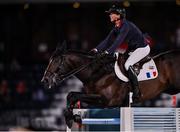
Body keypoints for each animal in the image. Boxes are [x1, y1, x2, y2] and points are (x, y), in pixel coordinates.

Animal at [41, 42, 180, 106]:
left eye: (56, 61)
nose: (45, 80)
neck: (97, 72)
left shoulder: (108, 101)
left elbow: (74, 96)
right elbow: (72, 95)